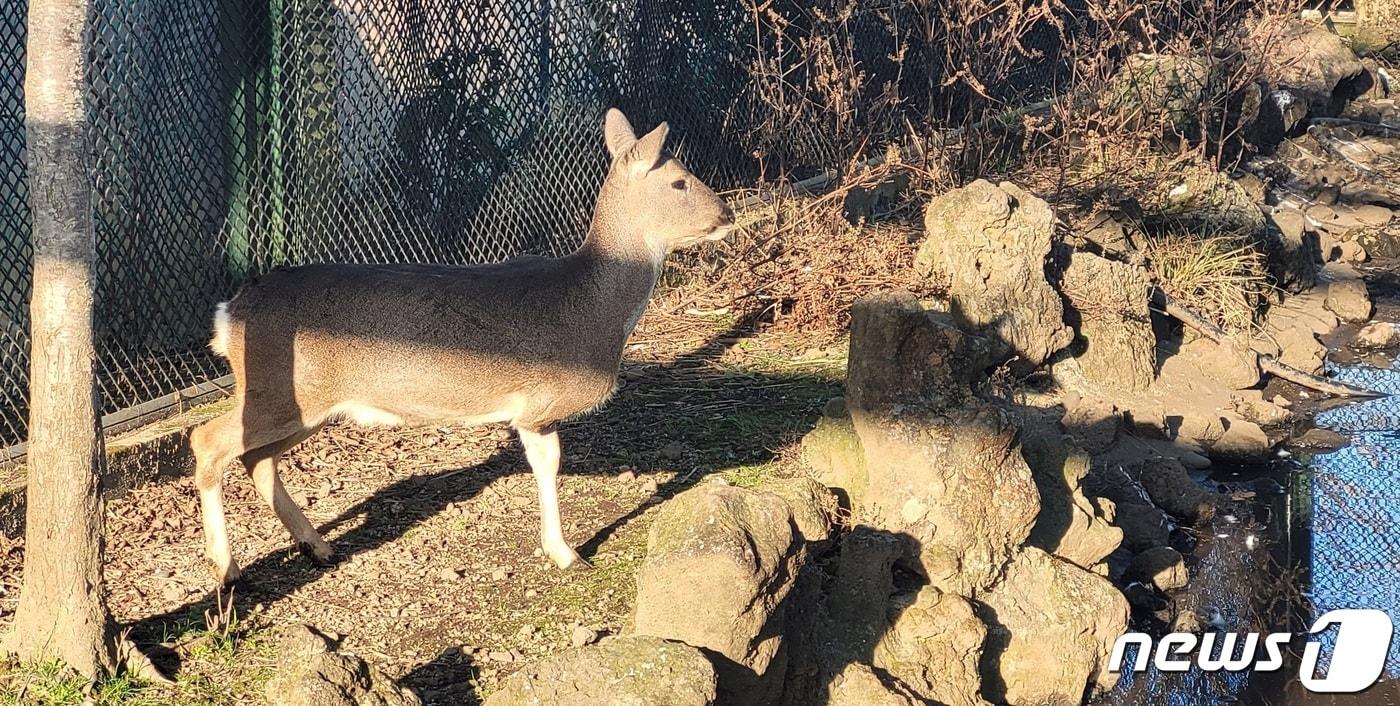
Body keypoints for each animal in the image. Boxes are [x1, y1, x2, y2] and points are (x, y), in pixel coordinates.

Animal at [193, 109, 739, 585]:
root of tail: (228, 313)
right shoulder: (539, 402)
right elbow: (550, 465)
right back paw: (228, 568)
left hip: (312, 405)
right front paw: (569, 554)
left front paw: (560, 550)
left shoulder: (533, 412)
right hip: (281, 393)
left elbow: (546, 464)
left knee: (256, 459)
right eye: (680, 181)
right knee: (207, 440)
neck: (592, 309)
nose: (728, 212)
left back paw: (318, 546)